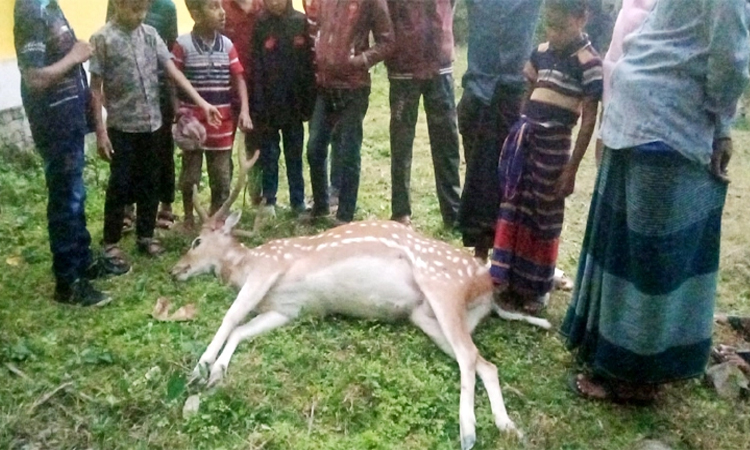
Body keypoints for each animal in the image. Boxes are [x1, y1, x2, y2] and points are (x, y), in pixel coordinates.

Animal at [172, 152, 552, 450]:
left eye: (196, 242)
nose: (176, 270)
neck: (246, 264)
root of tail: (487, 290)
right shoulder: (286, 310)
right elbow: (242, 328)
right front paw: (215, 373)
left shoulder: (270, 267)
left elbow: (231, 317)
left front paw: (198, 370)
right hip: (426, 316)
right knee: (482, 362)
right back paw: (507, 426)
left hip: (442, 286)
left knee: (469, 357)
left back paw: (469, 431)